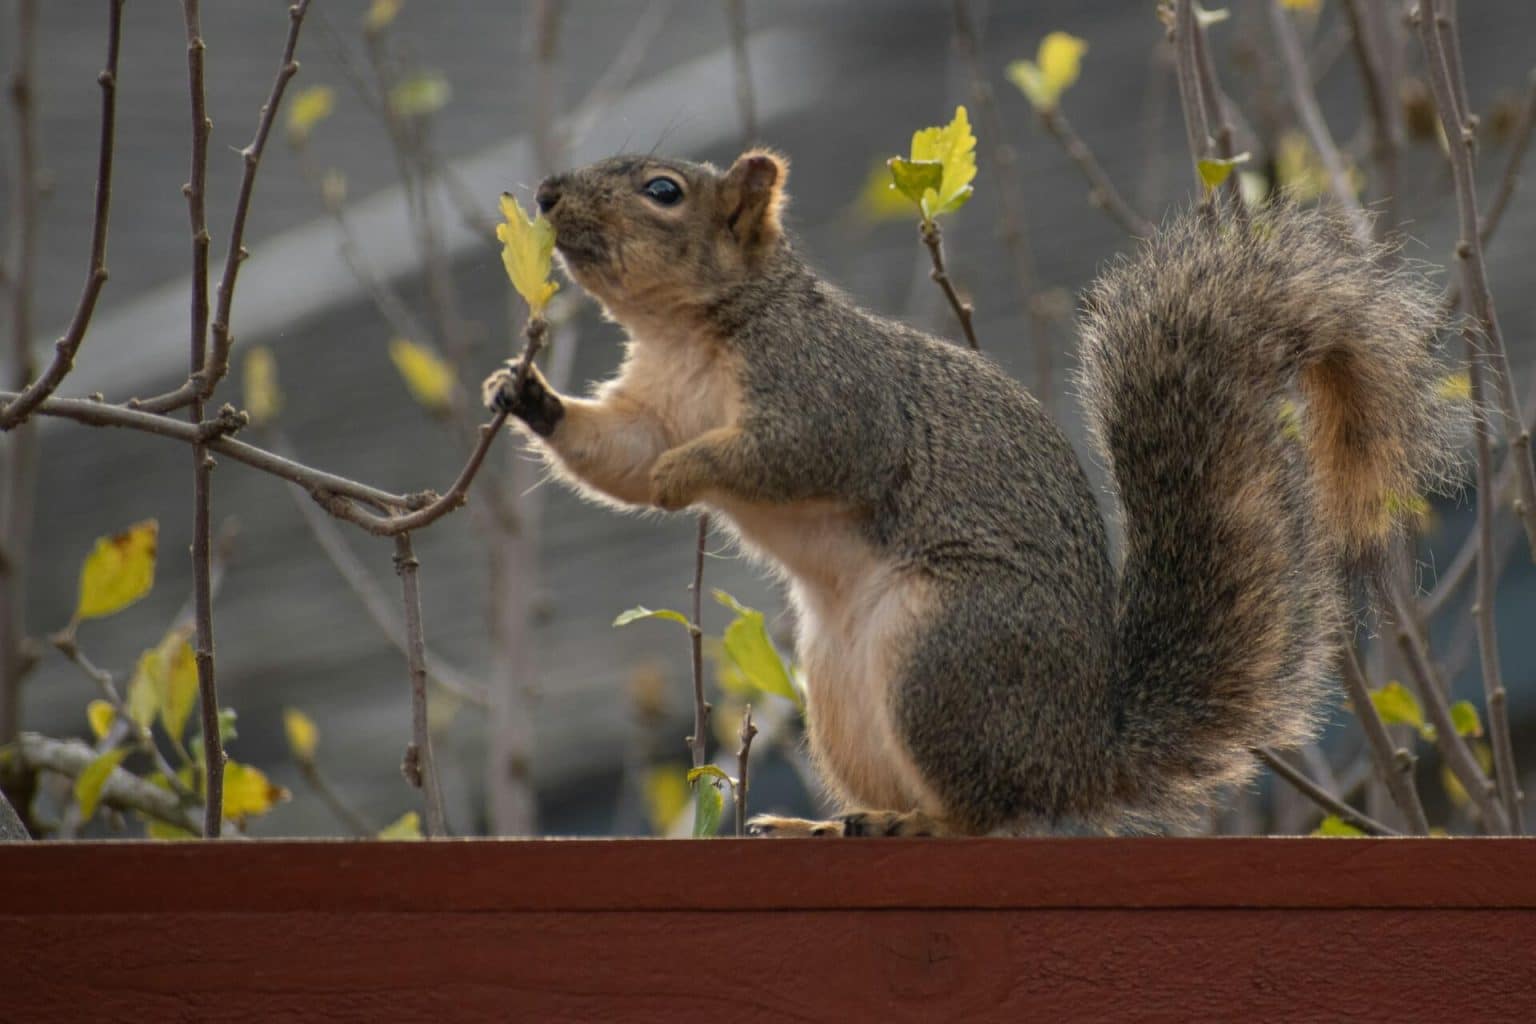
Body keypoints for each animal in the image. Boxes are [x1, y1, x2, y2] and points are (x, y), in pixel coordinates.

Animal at [482, 149, 1459, 837]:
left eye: (663, 190)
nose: (548, 194)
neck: (686, 335)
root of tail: (1077, 753)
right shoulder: (651, 408)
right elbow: (617, 455)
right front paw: (522, 393)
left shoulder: (830, 394)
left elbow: (795, 455)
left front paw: (688, 473)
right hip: (840, 693)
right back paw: (830, 821)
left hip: (948, 655)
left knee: (987, 812)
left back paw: (914, 822)